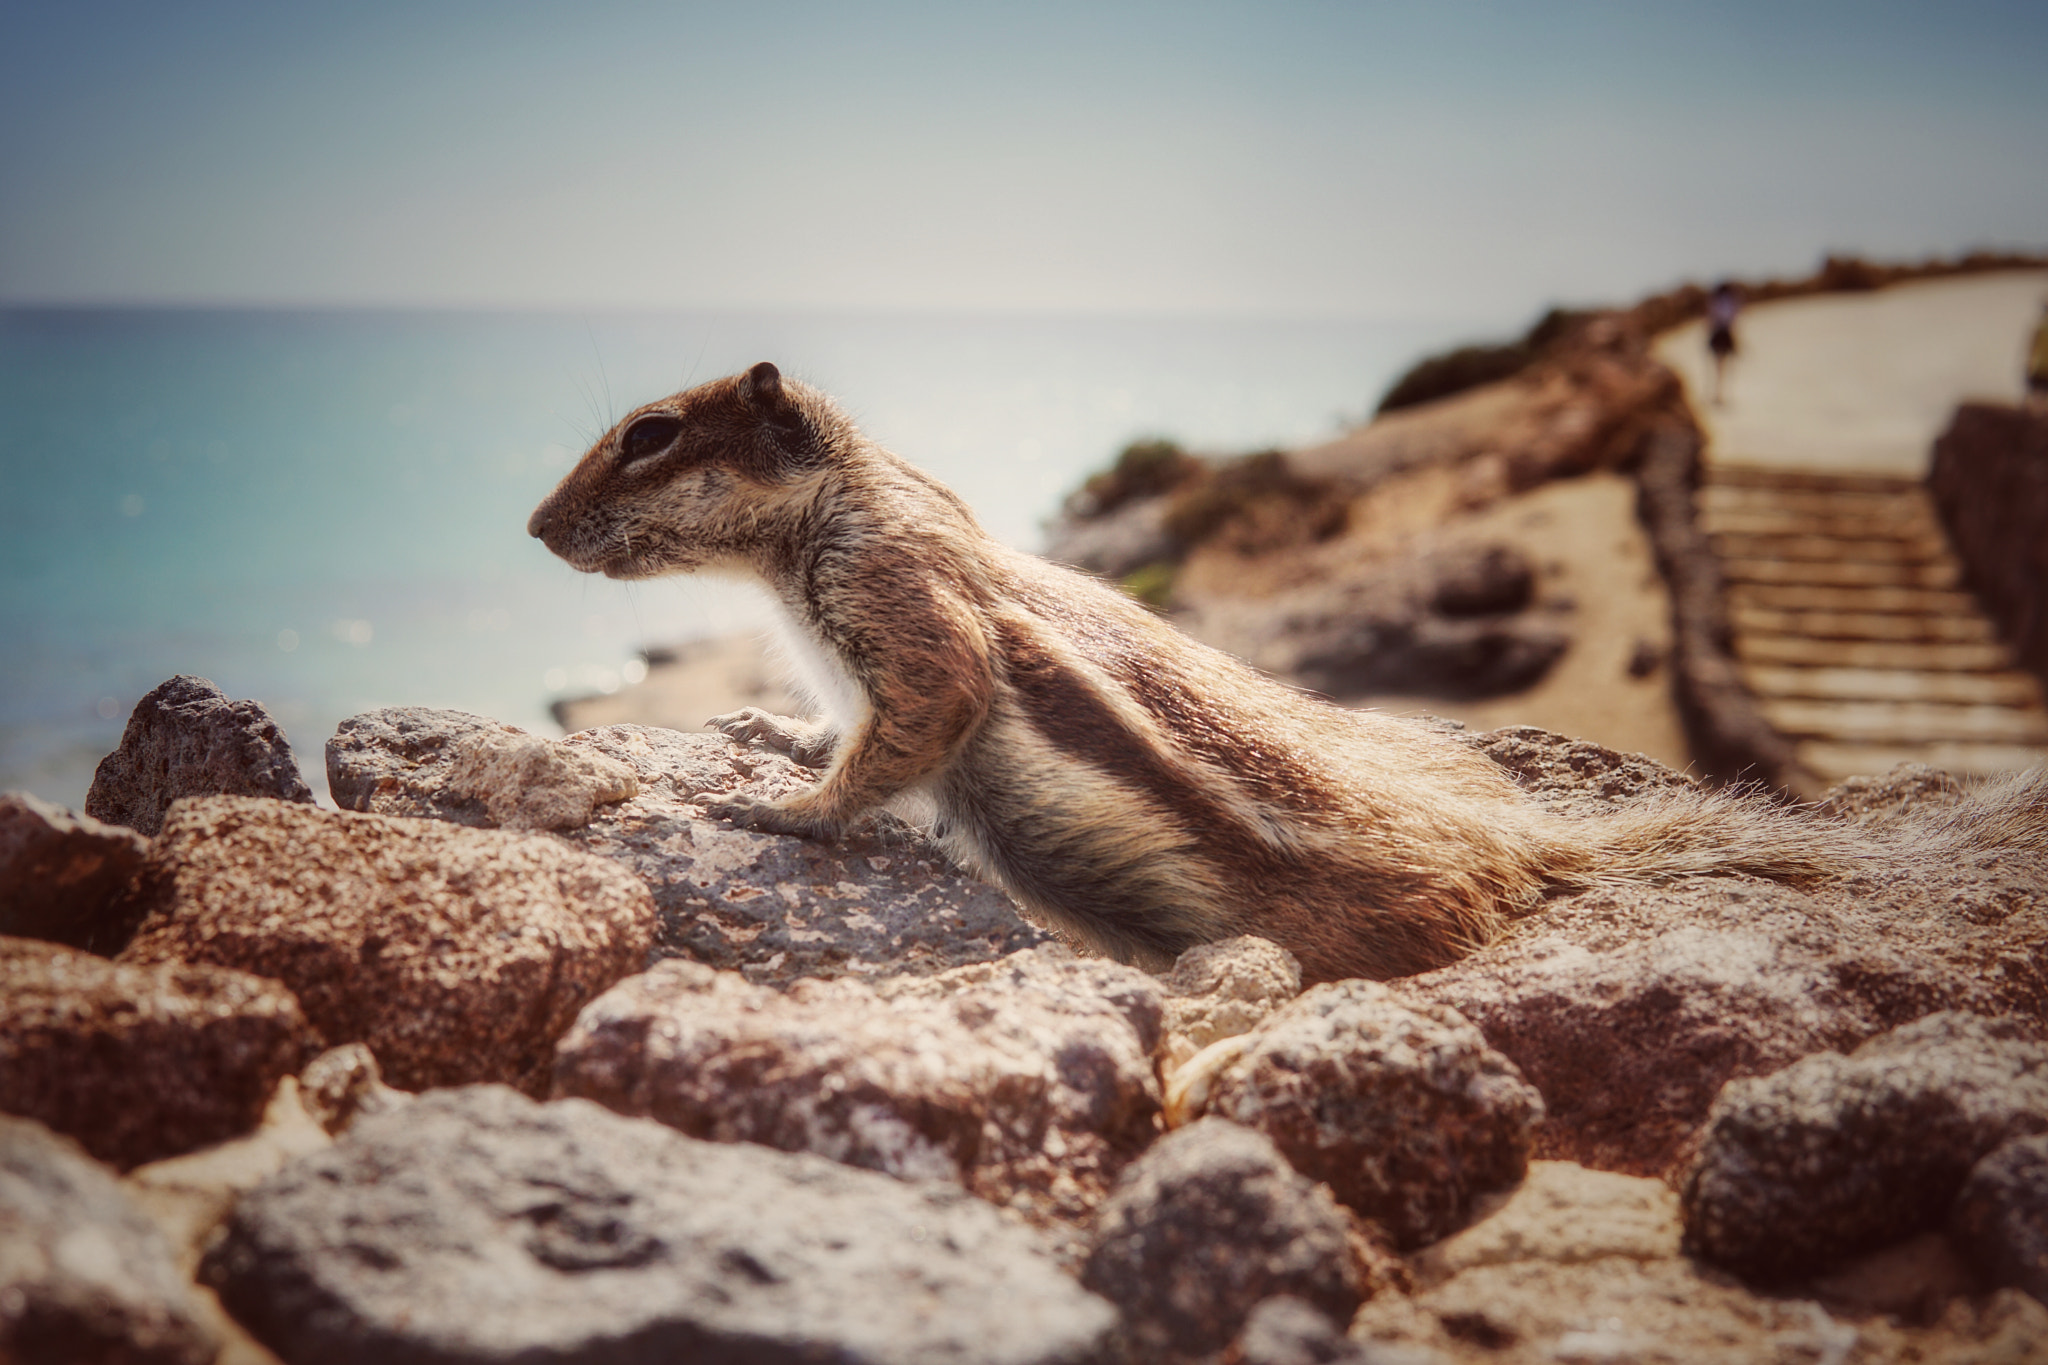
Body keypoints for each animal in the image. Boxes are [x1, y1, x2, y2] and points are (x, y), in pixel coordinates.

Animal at [532, 362, 2048, 982]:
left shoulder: (903, 605)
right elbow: (845, 727)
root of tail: (1519, 850)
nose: (537, 529)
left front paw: (781, 810)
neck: (839, 503)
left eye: (653, 435)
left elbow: (918, 721)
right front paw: (782, 744)